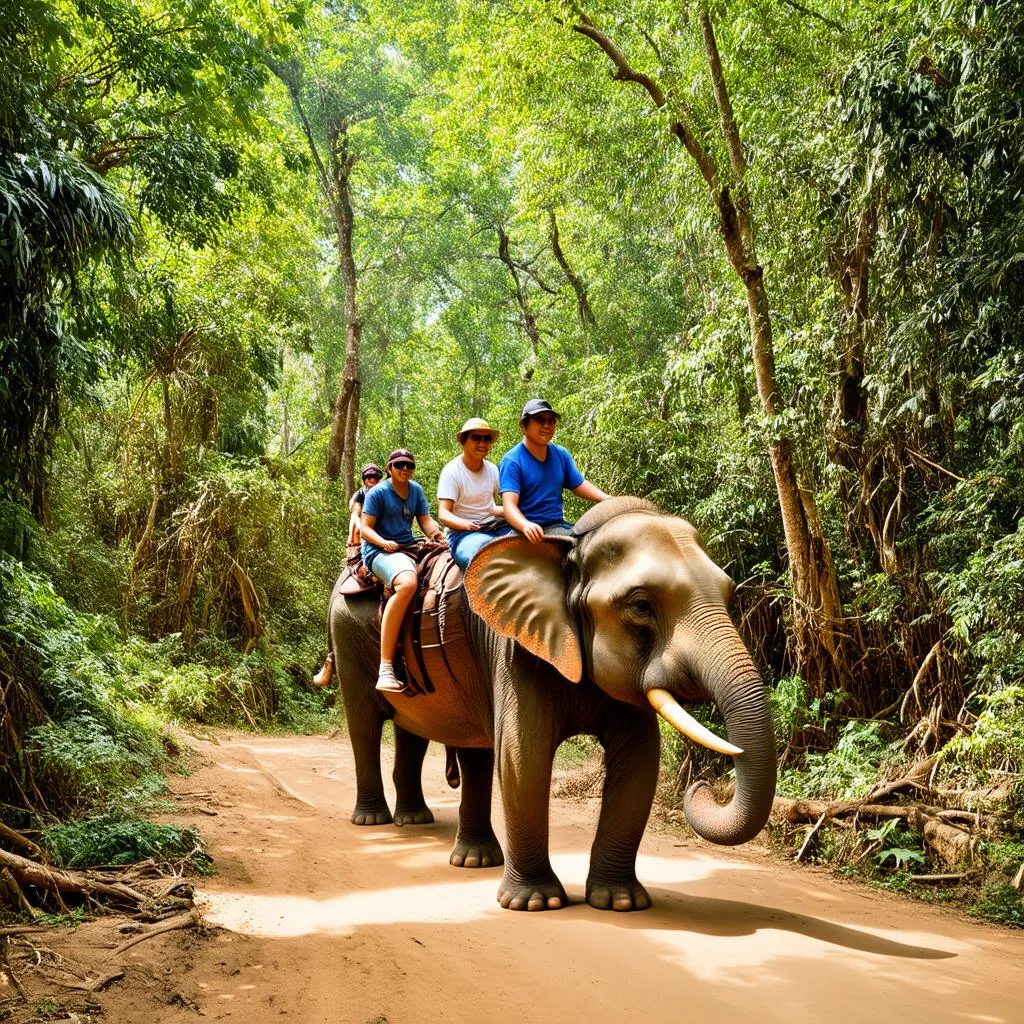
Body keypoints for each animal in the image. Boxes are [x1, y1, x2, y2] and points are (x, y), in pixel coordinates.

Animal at [327, 495, 774, 913]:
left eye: (728, 593)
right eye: (641, 606)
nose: (703, 787)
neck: (568, 551)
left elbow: (639, 761)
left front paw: (620, 902)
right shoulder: (514, 647)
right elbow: (524, 757)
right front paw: (535, 903)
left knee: (438, 738)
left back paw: (444, 840)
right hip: (347, 635)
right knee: (365, 725)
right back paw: (375, 821)